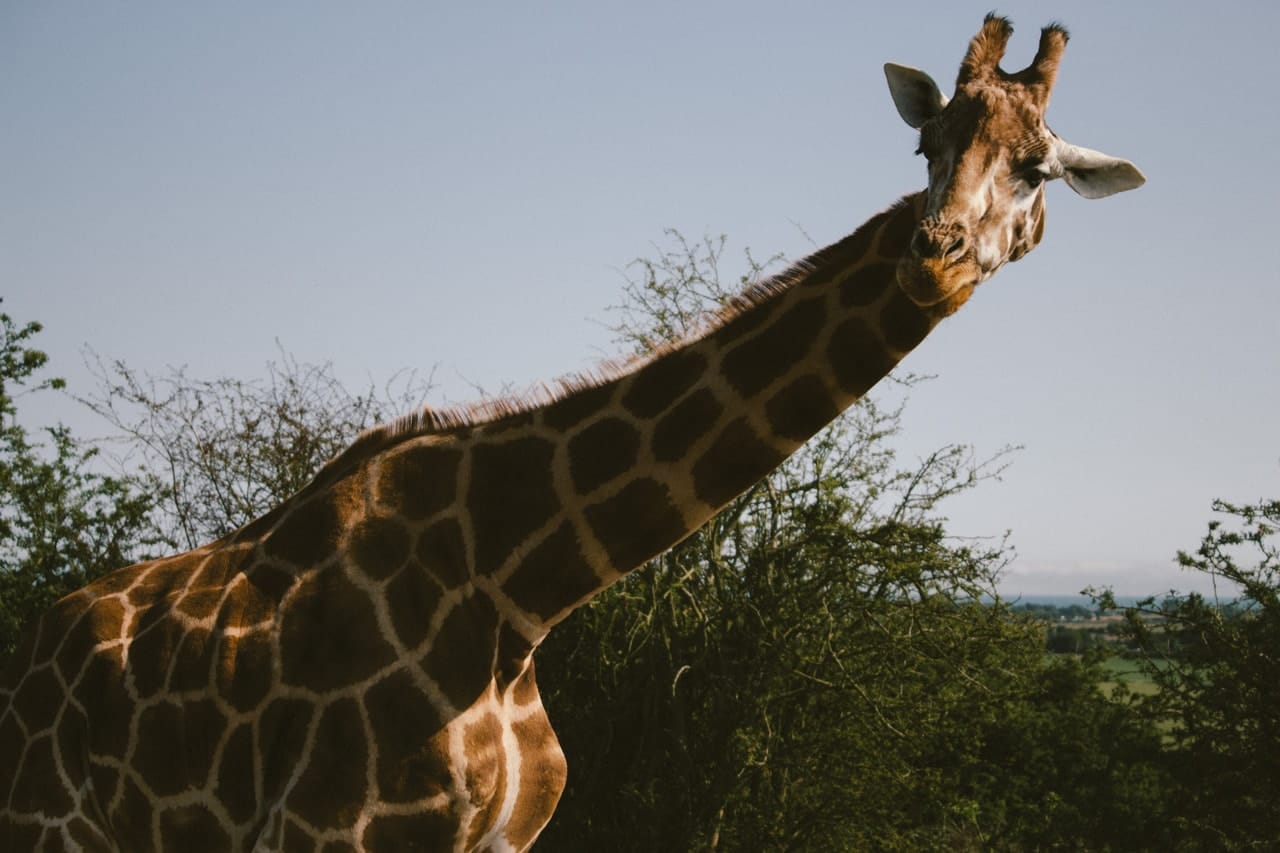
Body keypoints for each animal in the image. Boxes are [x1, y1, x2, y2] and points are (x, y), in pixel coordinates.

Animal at [0, 14, 1141, 850]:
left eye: (1034, 169)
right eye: (924, 143)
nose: (932, 254)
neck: (519, 582)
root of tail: (40, 643)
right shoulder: (327, 832)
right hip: (51, 823)